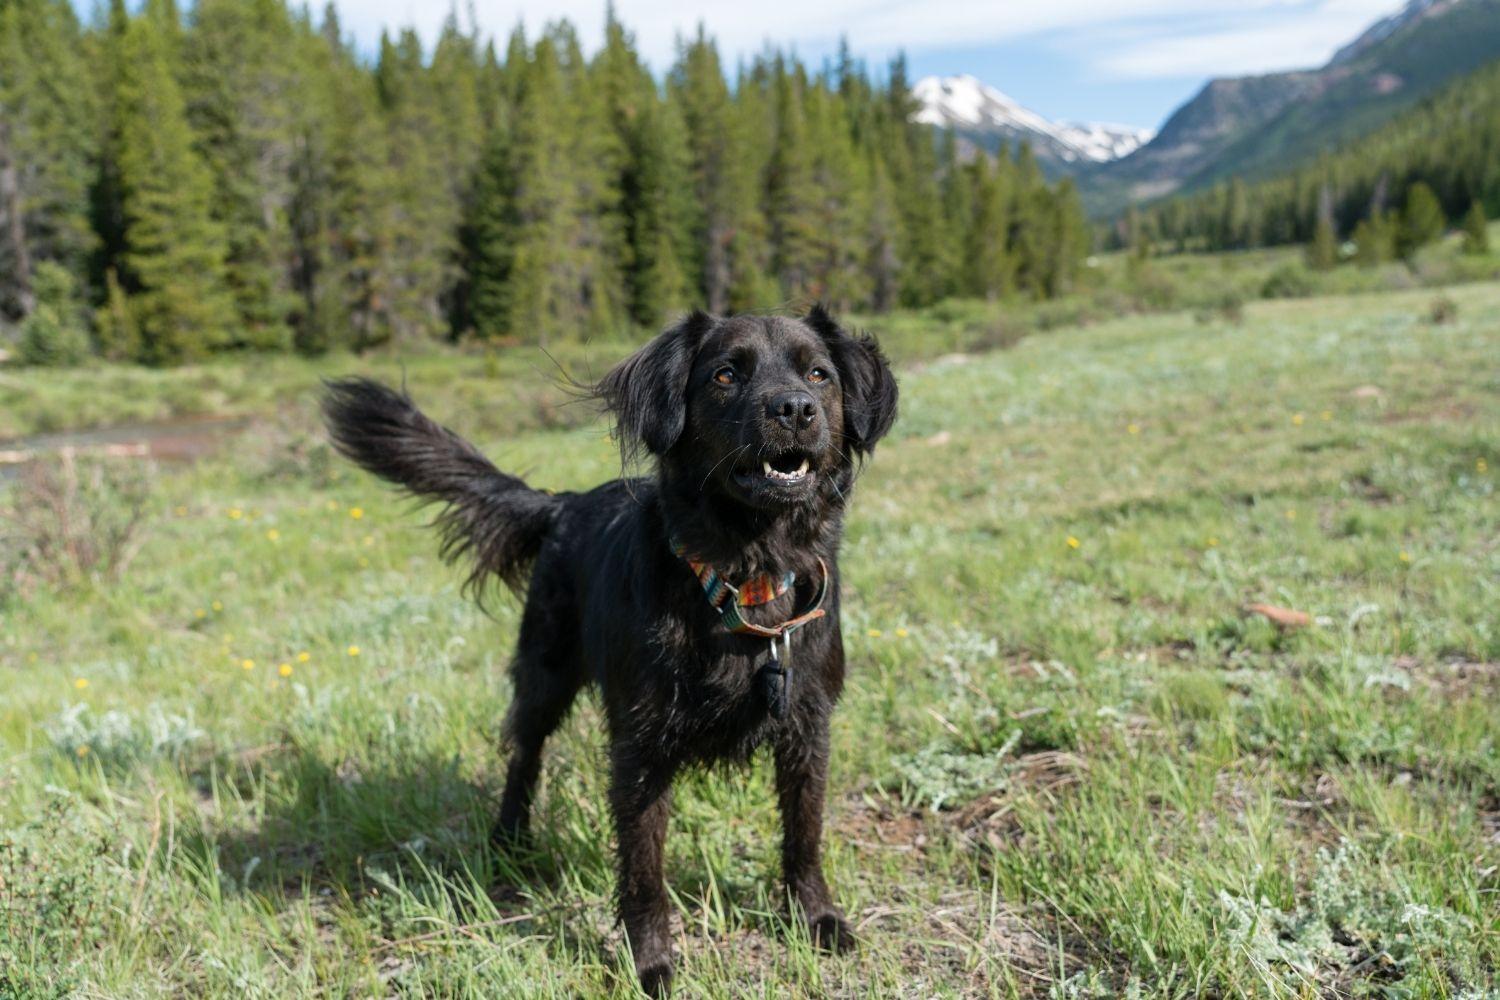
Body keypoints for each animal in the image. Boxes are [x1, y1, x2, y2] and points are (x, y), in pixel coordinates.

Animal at [321, 307, 894, 995]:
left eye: (819, 375)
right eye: (726, 375)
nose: (795, 408)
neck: (747, 572)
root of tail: (564, 501)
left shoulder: (807, 724)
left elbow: (804, 834)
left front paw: (817, 919)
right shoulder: (639, 745)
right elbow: (644, 868)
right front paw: (650, 962)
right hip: (544, 672)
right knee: (524, 755)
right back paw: (510, 844)